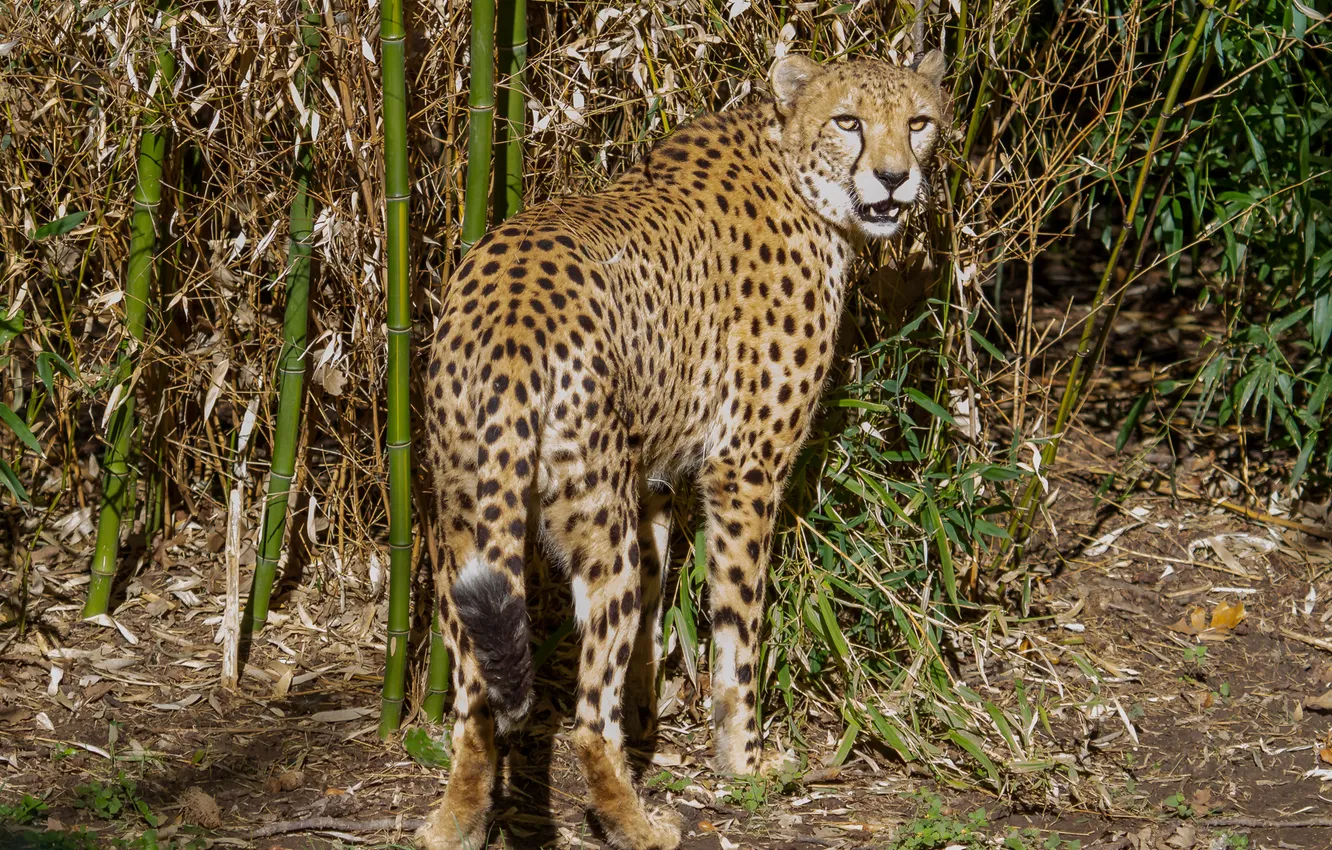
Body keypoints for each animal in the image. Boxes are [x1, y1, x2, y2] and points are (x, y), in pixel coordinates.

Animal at [416, 49, 948, 850]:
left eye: (917, 122)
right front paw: (745, 760)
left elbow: (652, 616)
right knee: (584, 715)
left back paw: (457, 821)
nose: (893, 177)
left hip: (464, 522)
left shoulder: (654, 479)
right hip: (593, 525)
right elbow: (738, 630)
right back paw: (635, 822)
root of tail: (511, 313)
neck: (794, 163)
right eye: (848, 121)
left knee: (477, 704)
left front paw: (649, 723)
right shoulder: (744, 467)